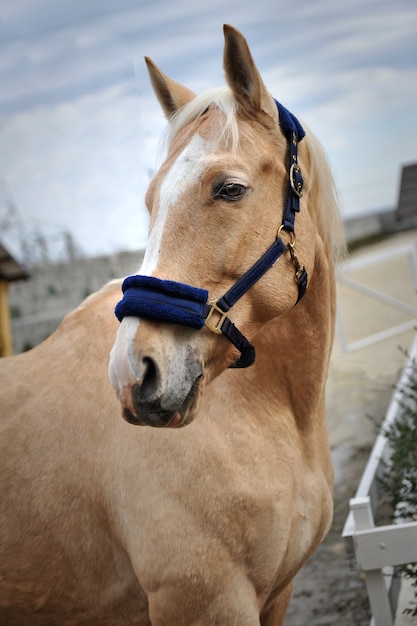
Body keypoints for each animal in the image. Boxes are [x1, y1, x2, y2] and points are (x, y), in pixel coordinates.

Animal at [0, 25, 342, 624]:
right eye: (150, 200)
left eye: (229, 188)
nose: (131, 374)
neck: (273, 411)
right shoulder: (208, 601)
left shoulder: (279, 595)